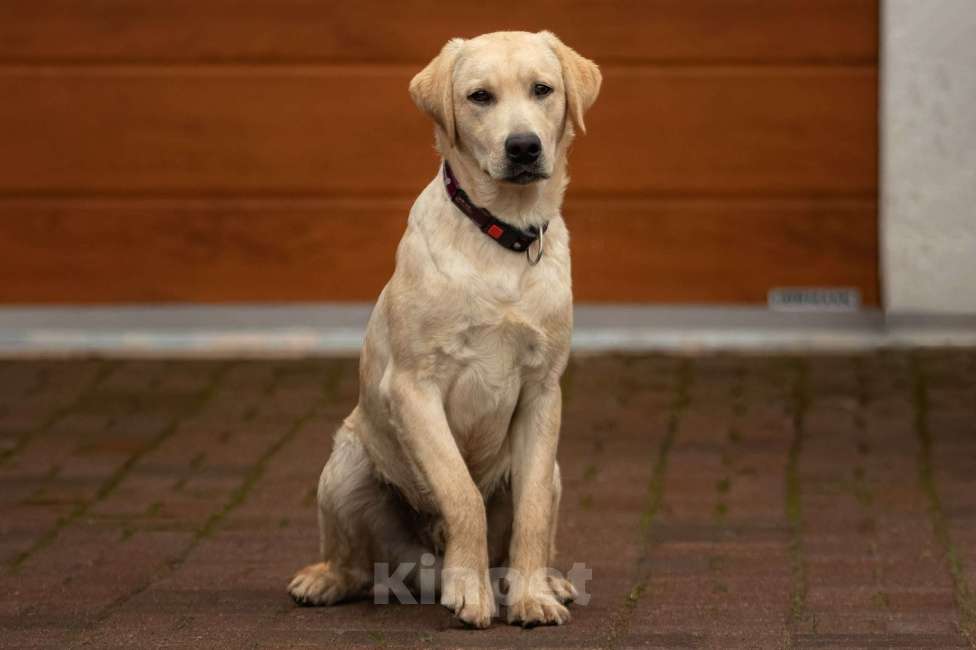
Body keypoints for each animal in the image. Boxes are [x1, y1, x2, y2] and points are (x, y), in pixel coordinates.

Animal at [286, 31, 600, 628]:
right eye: (479, 96)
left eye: (542, 89)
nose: (523, 147)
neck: (502, 234)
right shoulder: (414, 387)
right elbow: (461, 493)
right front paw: (470, 591)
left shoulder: (543, 392)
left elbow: (530, 512)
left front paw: (530, 597)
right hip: (345, 468)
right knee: (353, 562)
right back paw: (323, 580)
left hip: (552, 470)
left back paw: (548, 581)